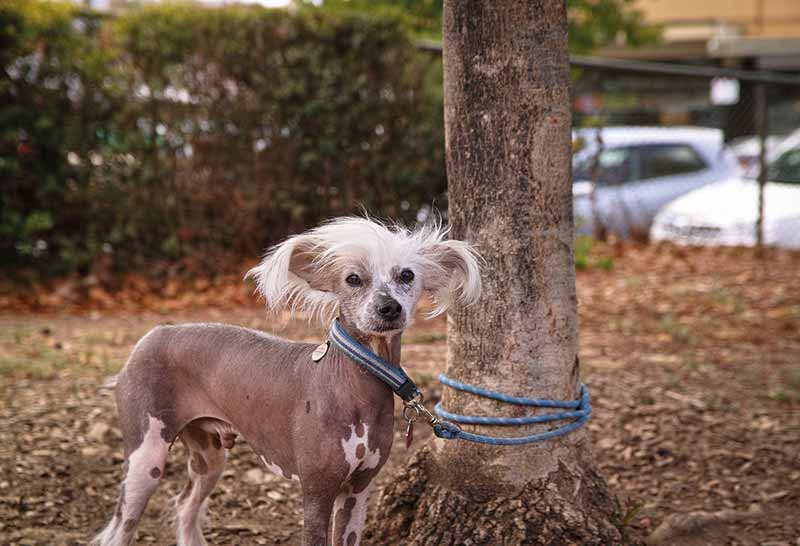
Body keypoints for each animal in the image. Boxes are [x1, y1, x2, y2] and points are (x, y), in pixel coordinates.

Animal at [94, 217, 482, 544]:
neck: (354, 381)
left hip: (210, 457)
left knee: (186, 506)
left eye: (406, 276)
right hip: (146, 458)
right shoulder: (316, 493)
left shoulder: (358, 491)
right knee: (122, 528)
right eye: (353, 279)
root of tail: (151, 336)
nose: (389, 308)